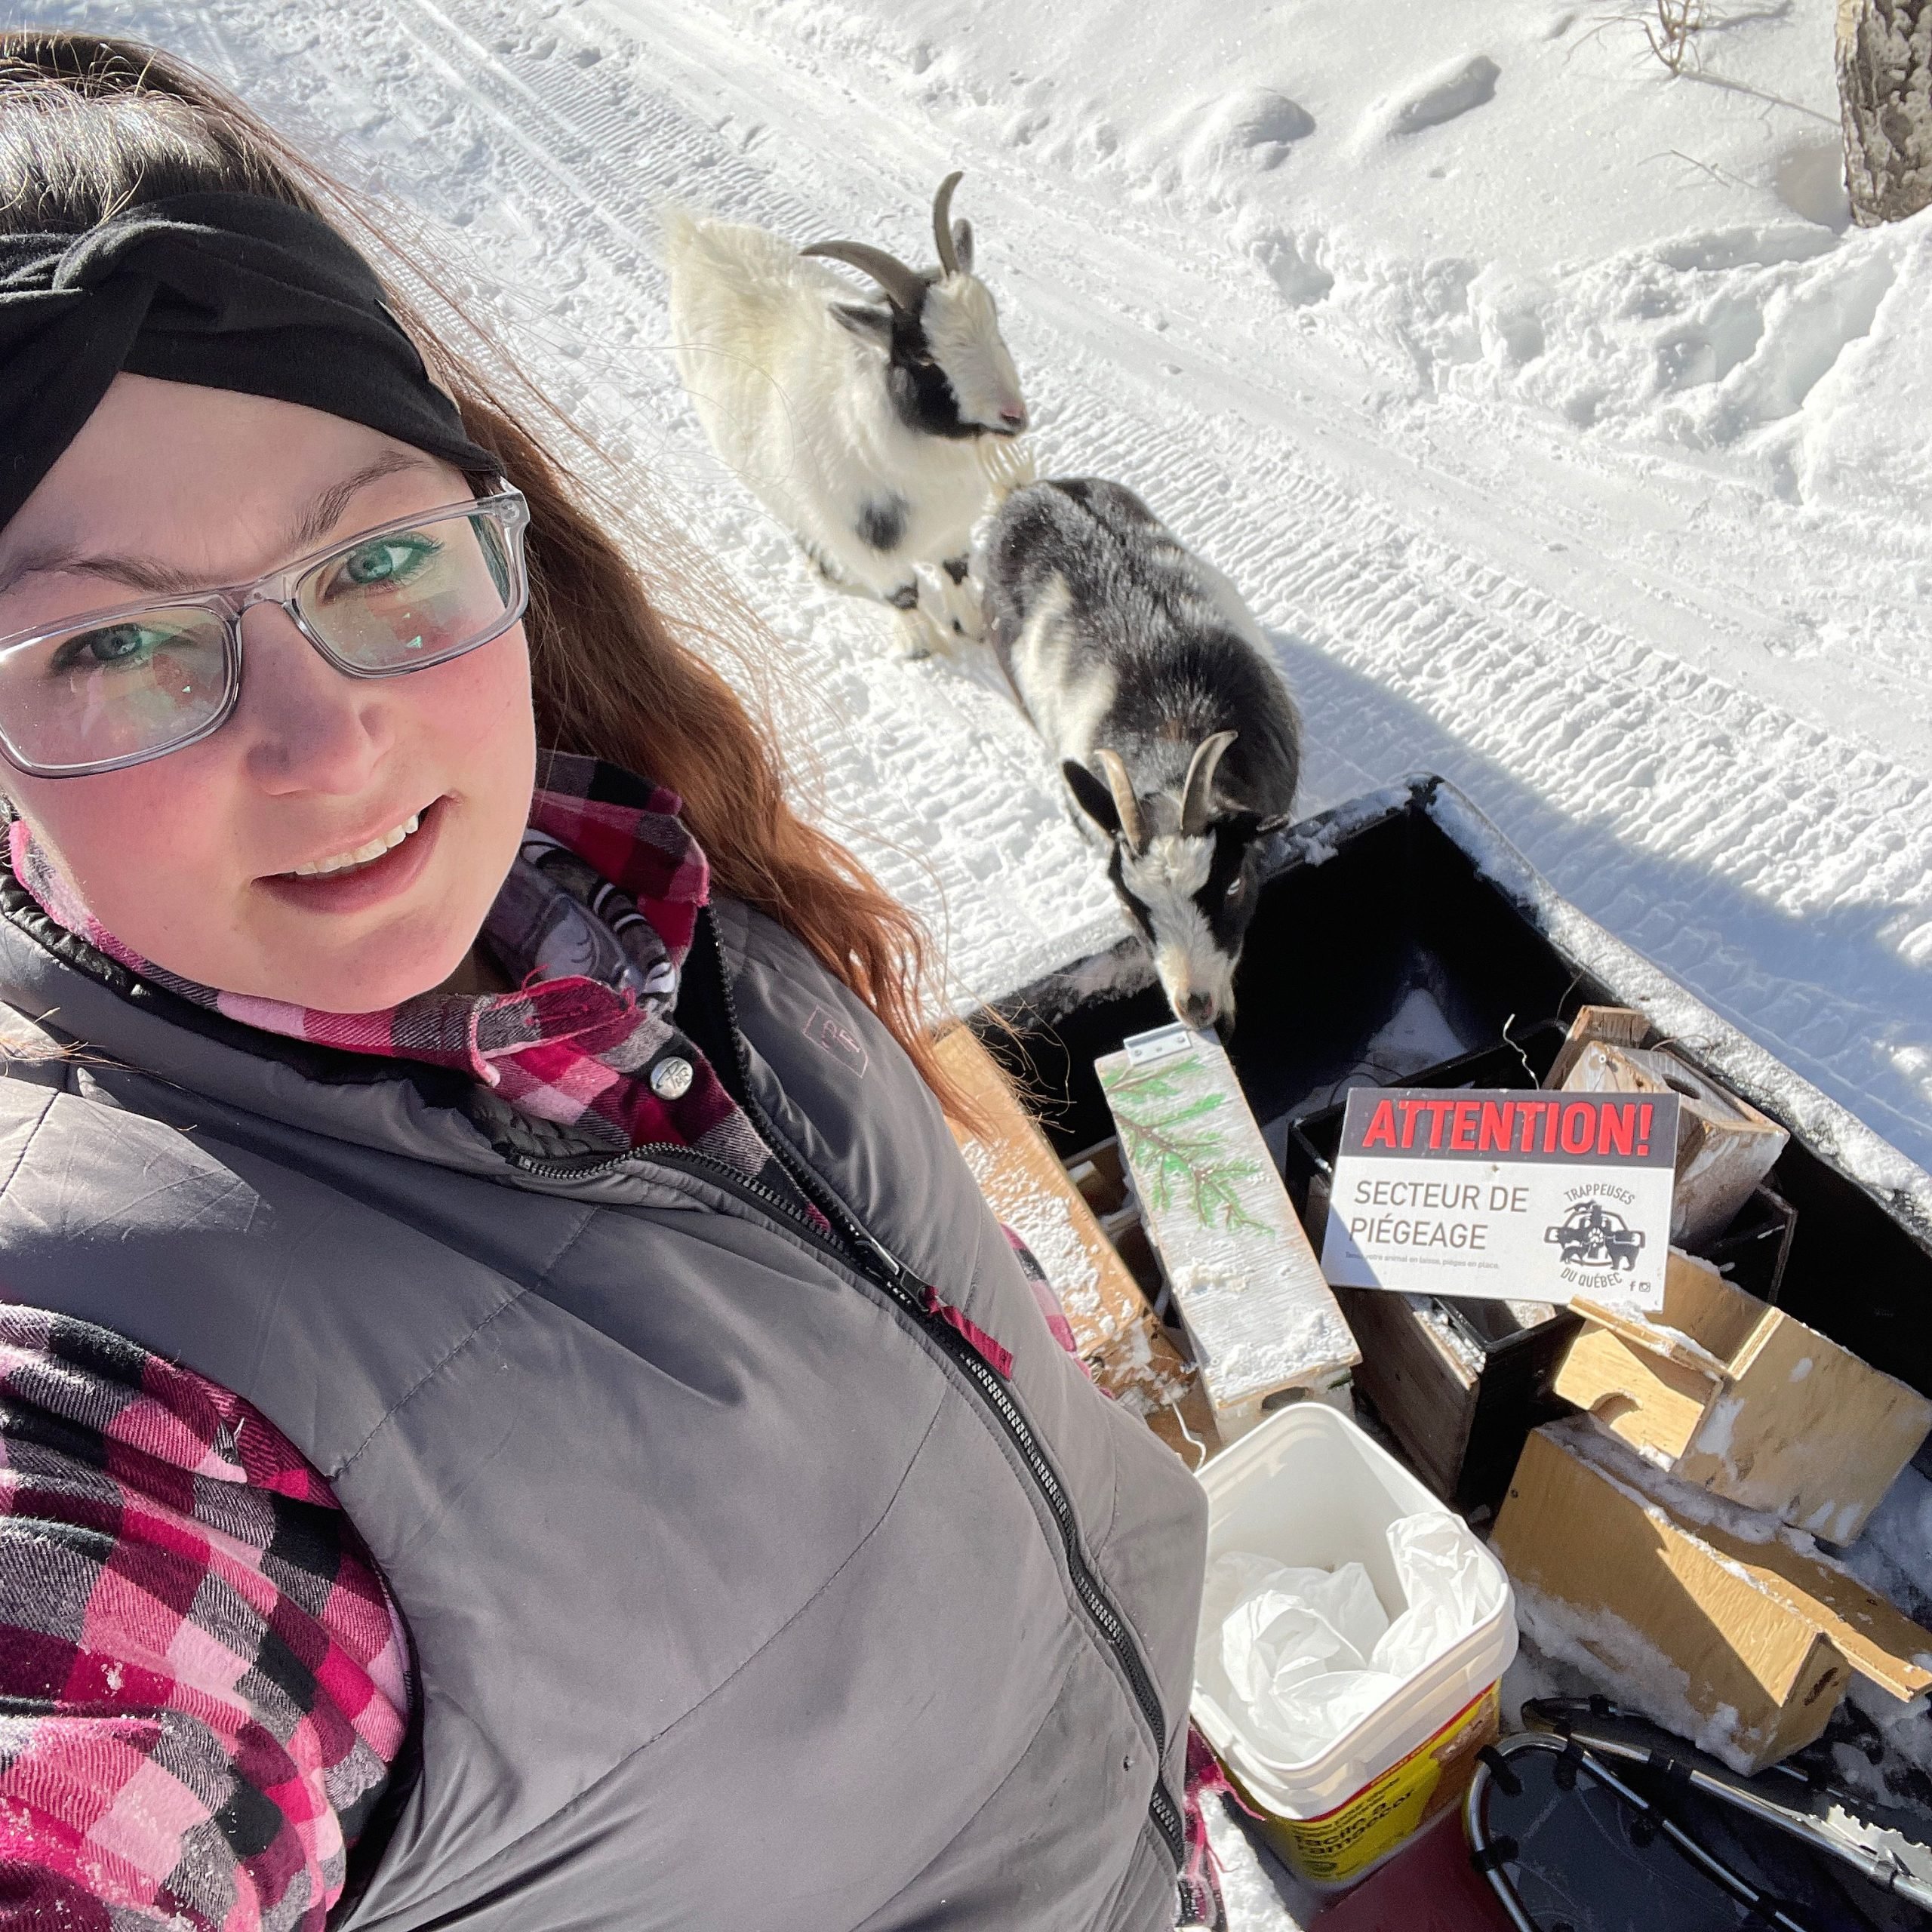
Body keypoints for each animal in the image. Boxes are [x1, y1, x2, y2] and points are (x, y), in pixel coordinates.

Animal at [664, 177, 1027, 653]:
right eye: (924, 356)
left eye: (995, 321)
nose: (1013, 415)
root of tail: (691, 235)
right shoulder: (866, 548)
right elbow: (904, 594)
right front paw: (919, 648)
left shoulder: (953, 528)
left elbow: (956, 570)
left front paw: (971, 626)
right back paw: (825, 568)